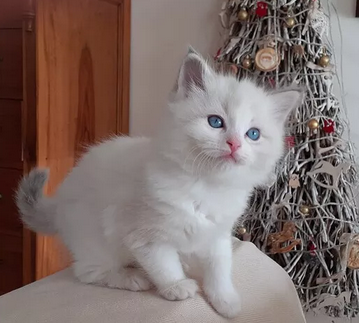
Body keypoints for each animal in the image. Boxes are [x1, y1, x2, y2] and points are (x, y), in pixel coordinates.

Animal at [16, 48, 304, 318]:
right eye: (215, 122)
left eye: (253, 134)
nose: (234, 144)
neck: (206, 185)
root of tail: (59, 200)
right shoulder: (145, 235)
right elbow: (164, 264)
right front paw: (177, 287)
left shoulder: (218, 234)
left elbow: (219, 269)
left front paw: (225, 300)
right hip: (94, 238)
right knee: (88, 272)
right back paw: (132, 278)